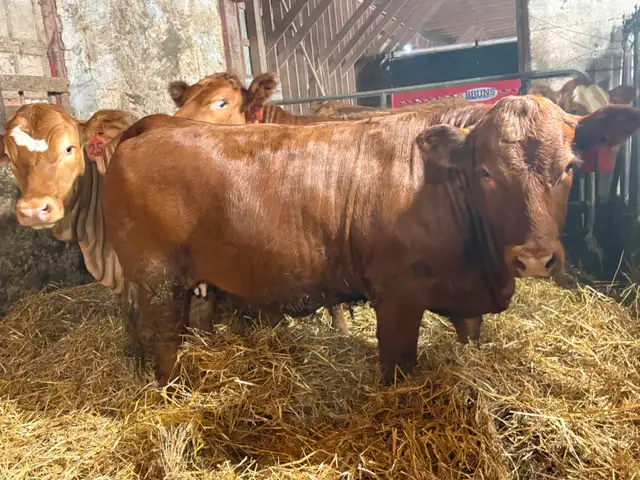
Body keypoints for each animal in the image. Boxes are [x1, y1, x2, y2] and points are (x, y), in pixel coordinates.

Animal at [101, 95, 640, 388]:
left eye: (569, 167)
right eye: (485, 171)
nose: (532, 258)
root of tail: (155, 124)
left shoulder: (467, 300)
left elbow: (469, 338)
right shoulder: (398, 297)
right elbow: (397, 366)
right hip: (157, 280)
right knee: (164, 345)